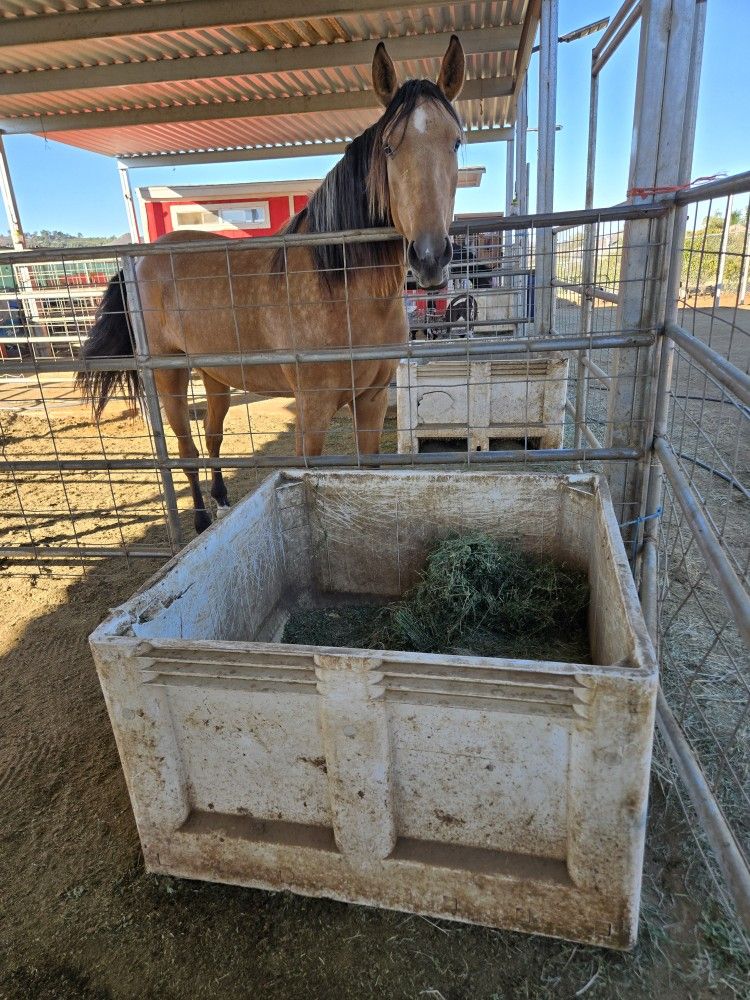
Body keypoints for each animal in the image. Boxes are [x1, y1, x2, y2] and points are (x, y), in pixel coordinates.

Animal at [77, 36, 466, 535]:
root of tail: (140, 260)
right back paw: (200, 521)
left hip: (214, 374)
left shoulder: (373, 401)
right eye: (389, 148)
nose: (430, 257)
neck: (341, 289)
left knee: (213, 436)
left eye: (455, 141)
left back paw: (223, 503)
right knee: (186, 449)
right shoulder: (313, 411)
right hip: (169, 374)